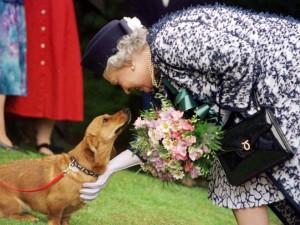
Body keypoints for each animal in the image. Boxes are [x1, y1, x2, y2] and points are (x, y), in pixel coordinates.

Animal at [0, 109, 130, 225]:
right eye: (105, 120)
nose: (127, 109)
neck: (81, 167)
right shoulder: (55, 204)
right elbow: (55, 219)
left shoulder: (68, 212)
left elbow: (66, 219)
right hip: (16, 204)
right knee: (9, 215)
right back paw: (28, 217)